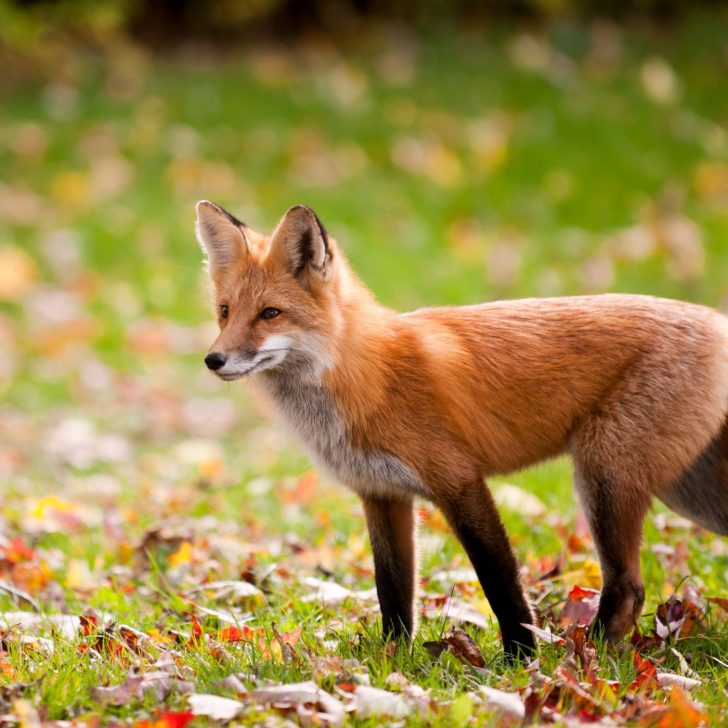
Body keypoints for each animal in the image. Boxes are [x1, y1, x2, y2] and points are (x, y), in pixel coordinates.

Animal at [196, 199, 724, 660]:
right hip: (685, 493)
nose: (213, 359)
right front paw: (392, 659)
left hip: (605, 477)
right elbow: (393, 590)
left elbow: (500, 581)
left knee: (628, 587)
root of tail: (715, 318)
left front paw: (520, 659)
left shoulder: (460, 480)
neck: (365, 376)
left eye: (270, 313)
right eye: (224, 311)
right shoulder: (381, 494)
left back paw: (581, 657)